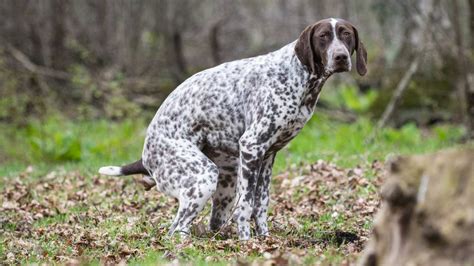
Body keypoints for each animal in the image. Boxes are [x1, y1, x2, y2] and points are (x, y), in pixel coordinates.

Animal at [99, 17, 366, 240]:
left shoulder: (267, 157)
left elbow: (261, 205)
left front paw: (264, 240)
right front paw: (247, 243)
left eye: (346, 35)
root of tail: (145, 154)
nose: (341, 57)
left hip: (225, 183)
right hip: (203, 178)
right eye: (323, 36)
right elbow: (246, 207)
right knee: (176, 229)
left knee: (208, 223)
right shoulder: (251, 146)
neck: (299, 76)